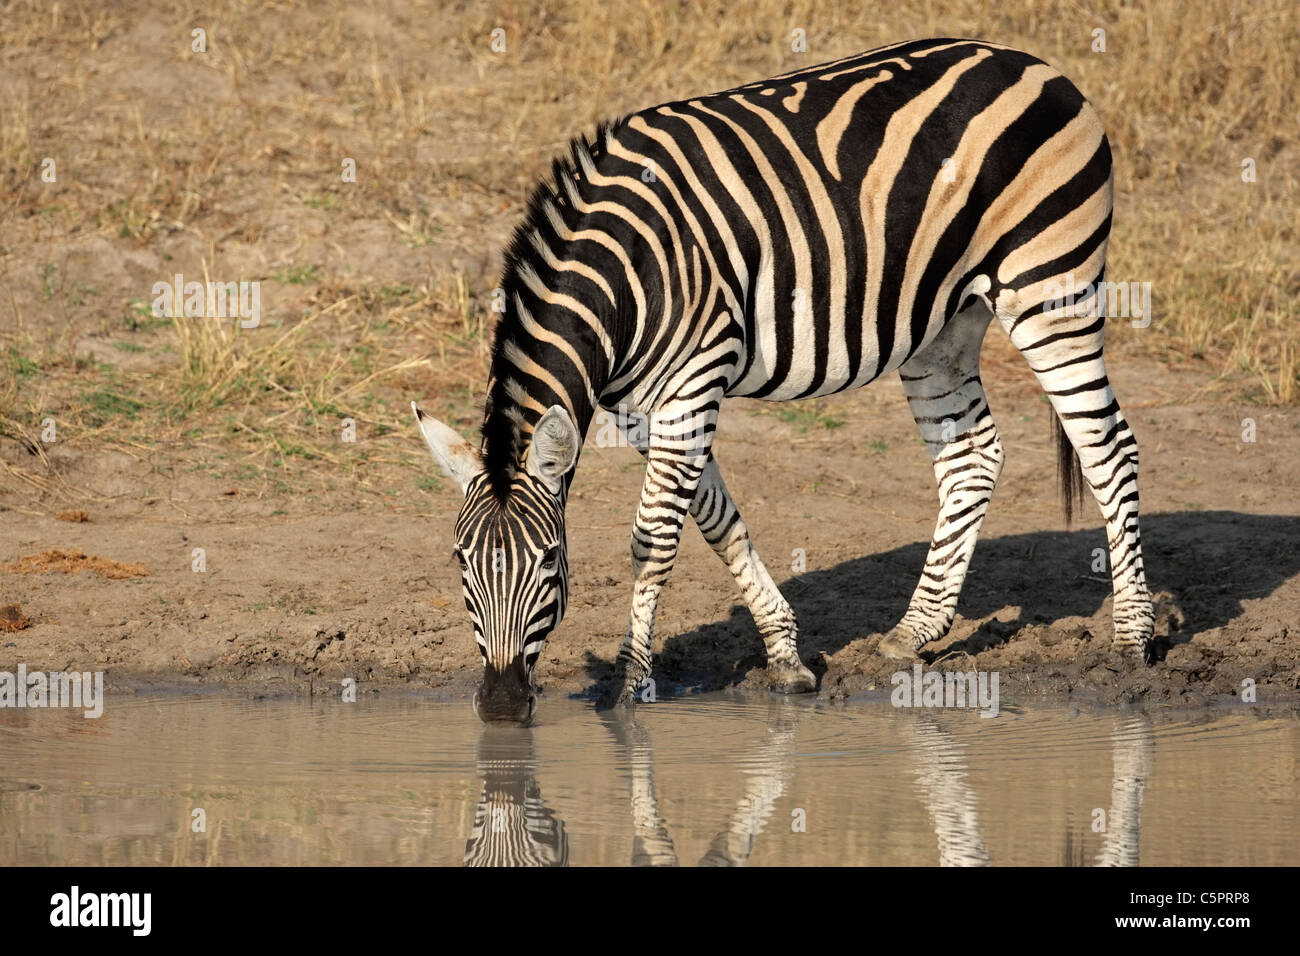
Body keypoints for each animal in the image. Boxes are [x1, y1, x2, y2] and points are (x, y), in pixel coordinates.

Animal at [410, 39, 1154, 723]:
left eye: (548, 565)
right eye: (459, 564)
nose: (501, 706)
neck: (627, 277)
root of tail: (1037, 65)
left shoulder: (693, 381)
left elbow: (653, 540)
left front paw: (627, 684)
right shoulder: (647, 407)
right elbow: (716, 521)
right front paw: (787, 657)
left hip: (1051, 282)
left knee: (1107, 447)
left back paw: (1132, 640)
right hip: (945, 321)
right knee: (972, 455)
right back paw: (914, 632)